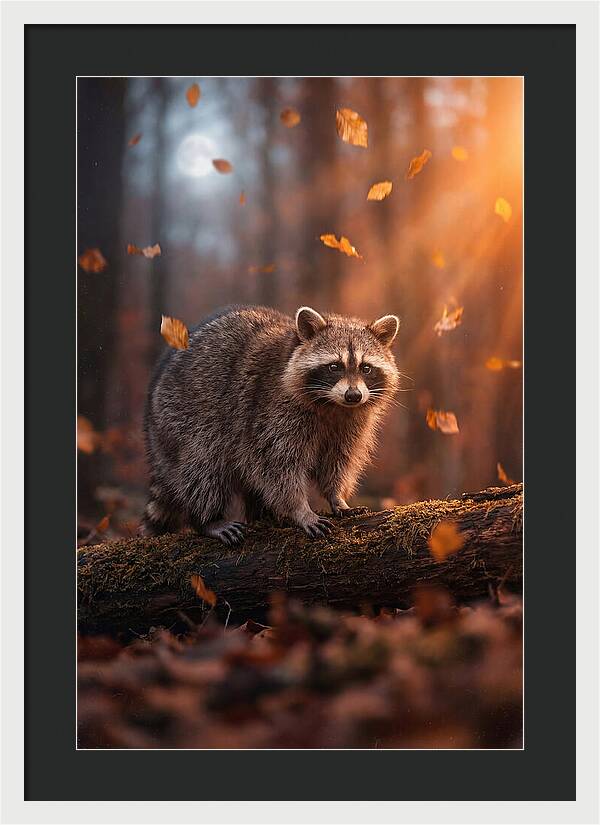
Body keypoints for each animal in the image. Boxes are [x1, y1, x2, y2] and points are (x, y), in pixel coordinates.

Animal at [142, 305, 400, 545]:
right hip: (183, 419)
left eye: (366, 368)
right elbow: (277, 466)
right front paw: (300, 509)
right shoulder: (270, 411)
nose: (353, 395)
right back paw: (207, 519)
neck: (333, 405)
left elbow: (338, 461)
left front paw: (337, 496)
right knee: (203, 467)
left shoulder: (350, 424)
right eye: (334, 366)